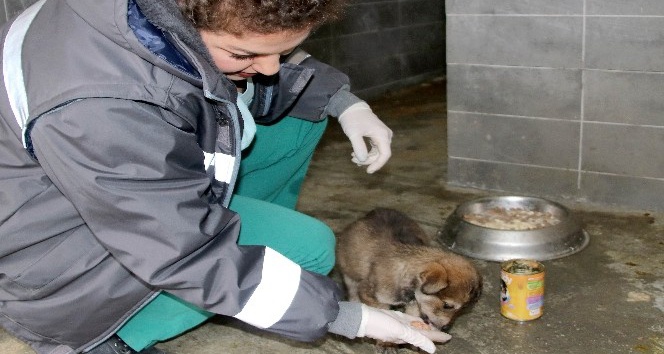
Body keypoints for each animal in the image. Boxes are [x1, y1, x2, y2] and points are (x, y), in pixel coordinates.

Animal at [338, 209, 482, 336]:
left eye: (462, 309)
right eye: (447, 305)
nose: (446, 328)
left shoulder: (415, 305)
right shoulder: (372, 295)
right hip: (349, 275)